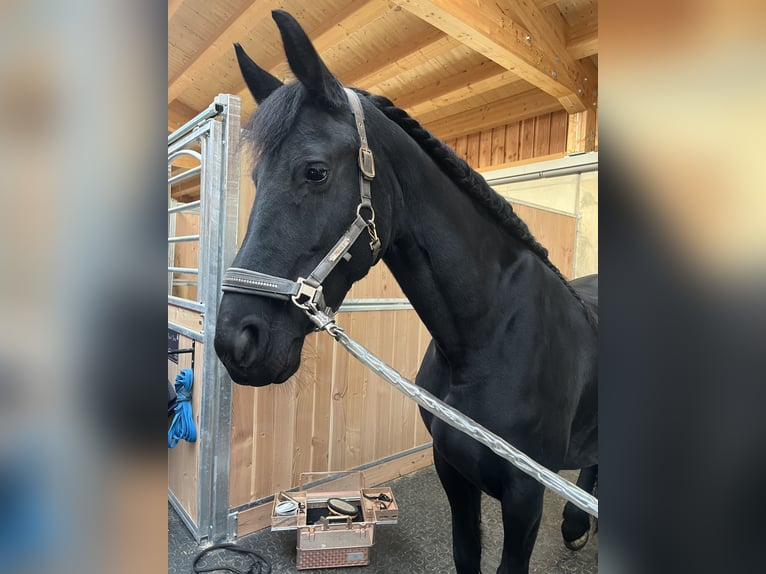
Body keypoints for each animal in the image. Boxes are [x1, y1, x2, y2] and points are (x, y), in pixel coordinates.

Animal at [214, 10, 598, 574]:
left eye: (315, 171)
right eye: (257, 178)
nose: (234, 341)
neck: (490, 338)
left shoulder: (526, 498)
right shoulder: (453, 473)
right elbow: (464, 552)